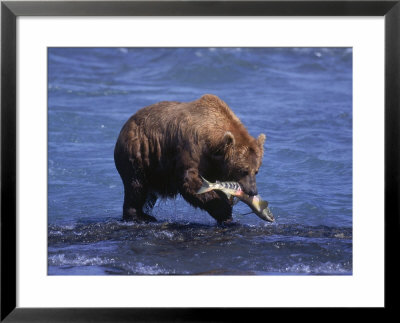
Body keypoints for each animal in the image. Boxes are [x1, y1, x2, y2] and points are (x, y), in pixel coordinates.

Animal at [114, 95, 266, 224]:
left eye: (256, 171)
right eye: (244, 170)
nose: (253, 190)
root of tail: (124, 126)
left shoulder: (213, 165)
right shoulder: (191, 148)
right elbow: (189, 181)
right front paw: (224, 210)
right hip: (138, 152)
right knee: (136, 185)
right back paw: (139, 215)